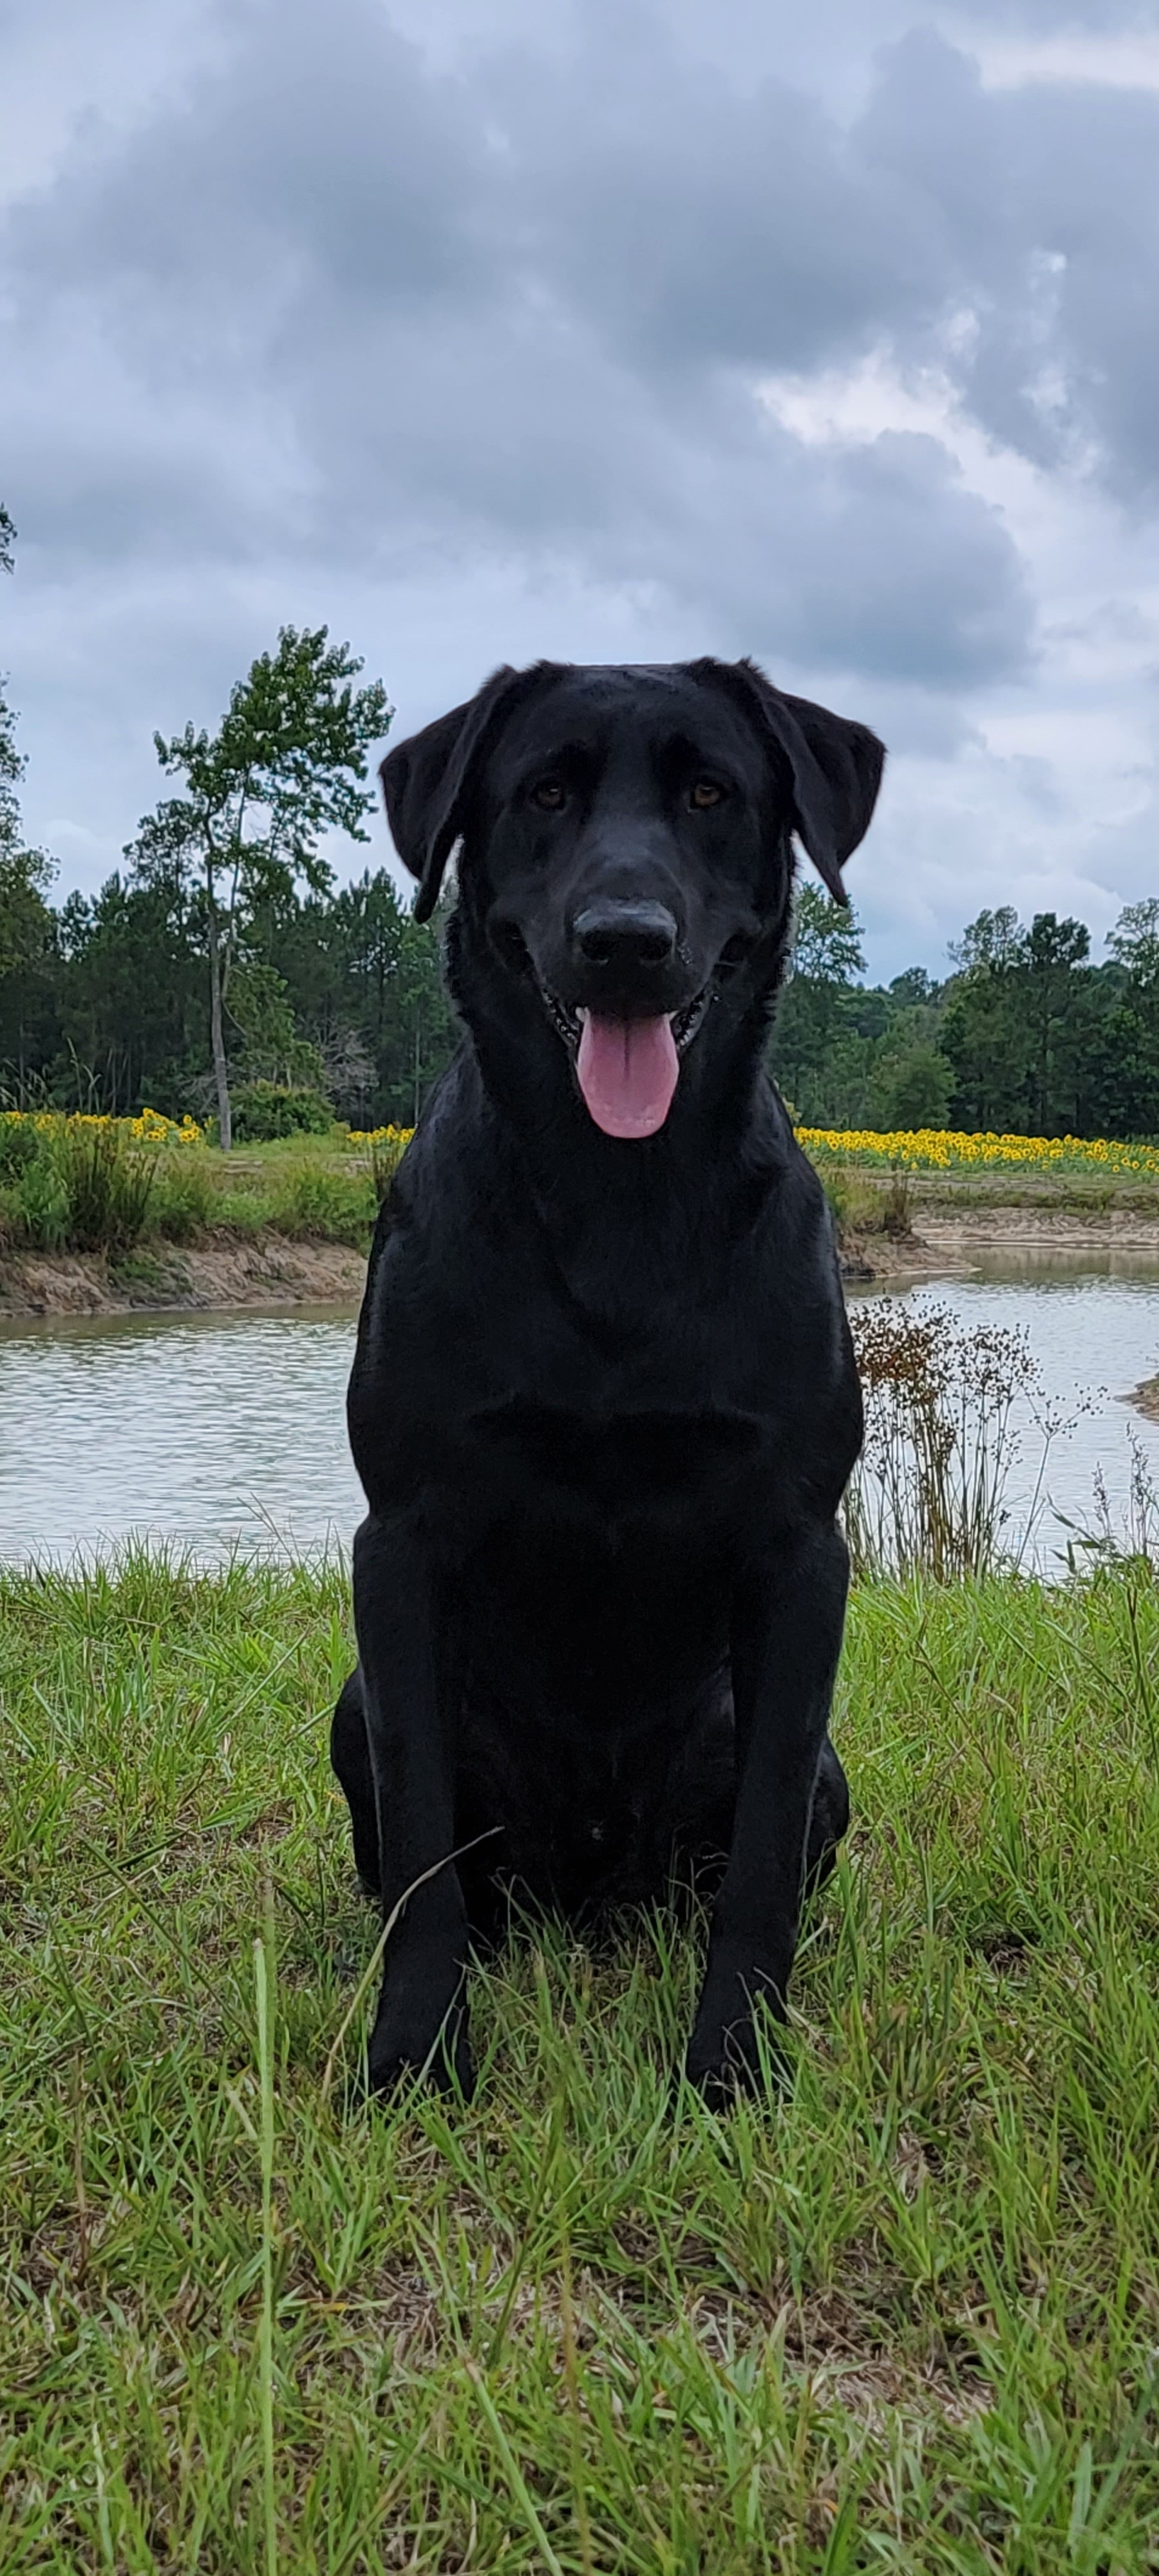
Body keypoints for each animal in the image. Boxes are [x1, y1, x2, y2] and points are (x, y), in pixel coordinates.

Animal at [330, 654, 881, 2102]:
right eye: (544, 793)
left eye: (710, 793)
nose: (624, 937)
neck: (617, 1200)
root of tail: (593, 1876)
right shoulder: (400, 1539)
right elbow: (423, 1849)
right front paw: (417, 2051)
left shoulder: (801, 1553)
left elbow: (759, 1867)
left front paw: (734, 2061)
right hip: (355, 1702)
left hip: (816, 1761)